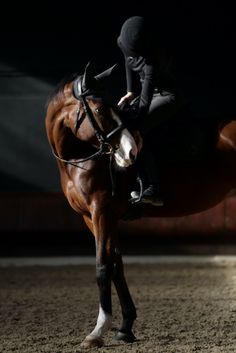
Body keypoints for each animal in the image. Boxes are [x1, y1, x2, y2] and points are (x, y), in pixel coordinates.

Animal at [45, 62, 236, 346]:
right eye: (100, 110)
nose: (130, 152)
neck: (80, 157)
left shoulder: (101, 212)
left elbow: (103, 267)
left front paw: (97, 332)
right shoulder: (93, 217)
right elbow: (117, 265)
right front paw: (125, 327)